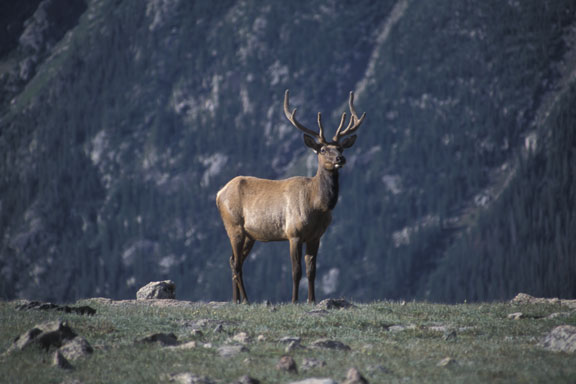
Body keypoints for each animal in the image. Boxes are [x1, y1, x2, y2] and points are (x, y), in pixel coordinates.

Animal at [216, 89, 364, 304]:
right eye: (323, 149)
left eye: (341, 148)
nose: (340, 158)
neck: (317, 205)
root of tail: (219, 193)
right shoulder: (293, 233)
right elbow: (296, 271)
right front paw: (294, 301)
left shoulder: (316, 236)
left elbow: (312, 271)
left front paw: (312, 300)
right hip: (233, 226)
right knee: (236, 264)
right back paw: (246, 299)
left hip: (250, 235)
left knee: (233, 260)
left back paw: (235, 300)